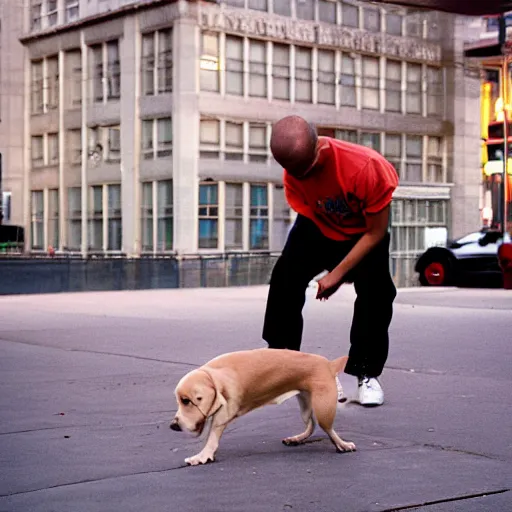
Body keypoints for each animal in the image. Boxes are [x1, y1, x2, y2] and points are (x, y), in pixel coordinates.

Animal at [171, 348, 356, 464]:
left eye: (186, 401)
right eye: (178, 400)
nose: (173, 426)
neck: (212, 378)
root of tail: (329, 364)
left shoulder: (221, 417)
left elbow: (211, 438)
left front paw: (202, 456)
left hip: (324, 407)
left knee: (328, 429)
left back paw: (342, 444)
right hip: (306, 404)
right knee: (311, 425)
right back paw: (296, 439)